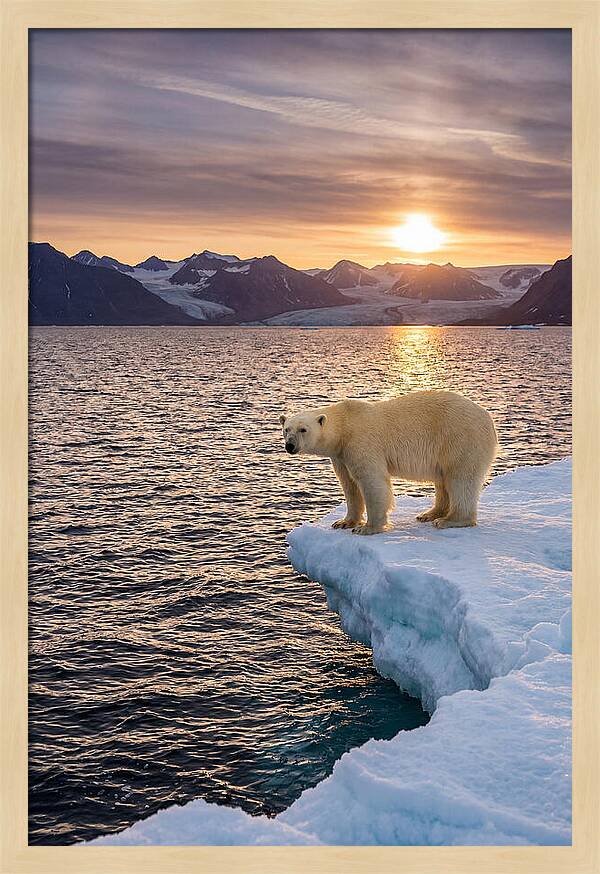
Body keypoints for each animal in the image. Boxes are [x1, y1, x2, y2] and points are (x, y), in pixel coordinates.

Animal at [280, 390, 498, 535]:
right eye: (286, 429)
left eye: (303, 429)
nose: (290, 445)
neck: (345, 425)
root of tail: (489, 418)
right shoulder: (341, 455)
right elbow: (349, 485)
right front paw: (343, 522)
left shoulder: (361, 442)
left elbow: (372, 481)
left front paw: (367, 528)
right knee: (443, 480)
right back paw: (429, 514)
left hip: (460, 439)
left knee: (460, 478)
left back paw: (449, 520)